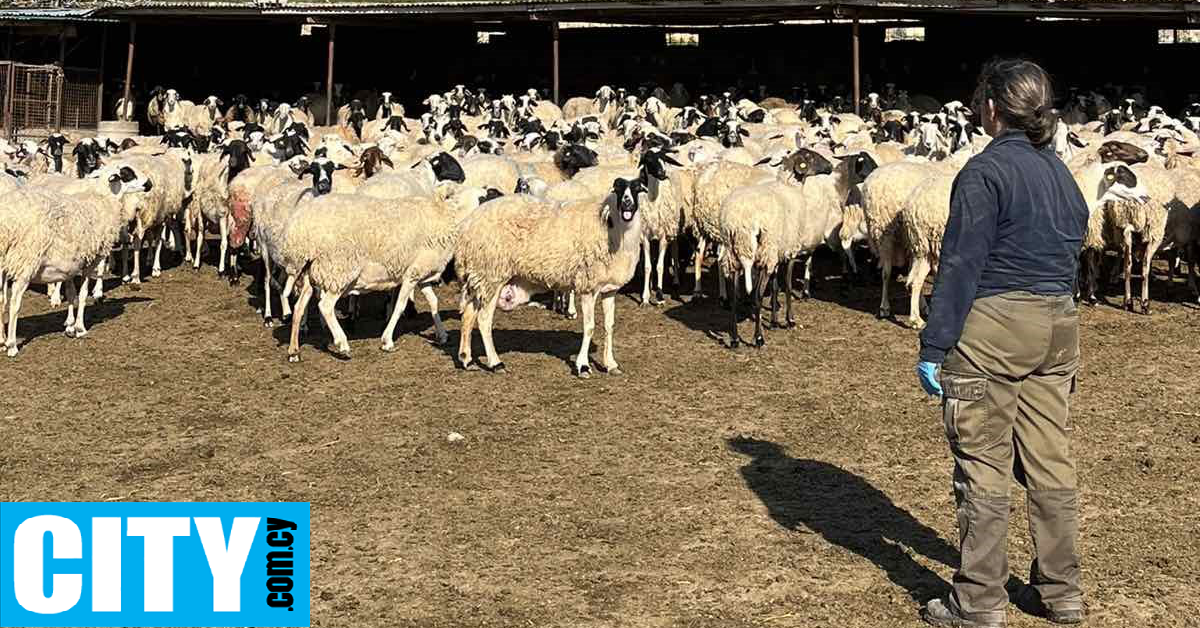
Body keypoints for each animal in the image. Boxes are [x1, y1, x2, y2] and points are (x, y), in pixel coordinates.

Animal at [0, 166, 152, 355]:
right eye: (127, 174)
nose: (149, 184)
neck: (103, 201)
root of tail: (7, 222)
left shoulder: (70, 265)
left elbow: (72, 295)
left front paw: (70, 327)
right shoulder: (89, 261)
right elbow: (83, 294)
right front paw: (80, 328)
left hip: (4, 264)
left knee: (2, 300)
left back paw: (2, 340)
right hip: (26, 262)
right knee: (14, 304)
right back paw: (12, 345)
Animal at [456, 176, 652, 377]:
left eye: (637, 188)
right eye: (619, 189)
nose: (627, 203)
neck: (613, 228)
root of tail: (467, 224)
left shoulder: (610, 289)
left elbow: (609, 326)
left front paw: (611, 364)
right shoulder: (588, 286)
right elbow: (589, 327)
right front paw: (583, 366)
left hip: (479, 276)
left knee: (468, 315)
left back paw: (466, 359)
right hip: (491, 273)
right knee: (483, 320)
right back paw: (496, 363)